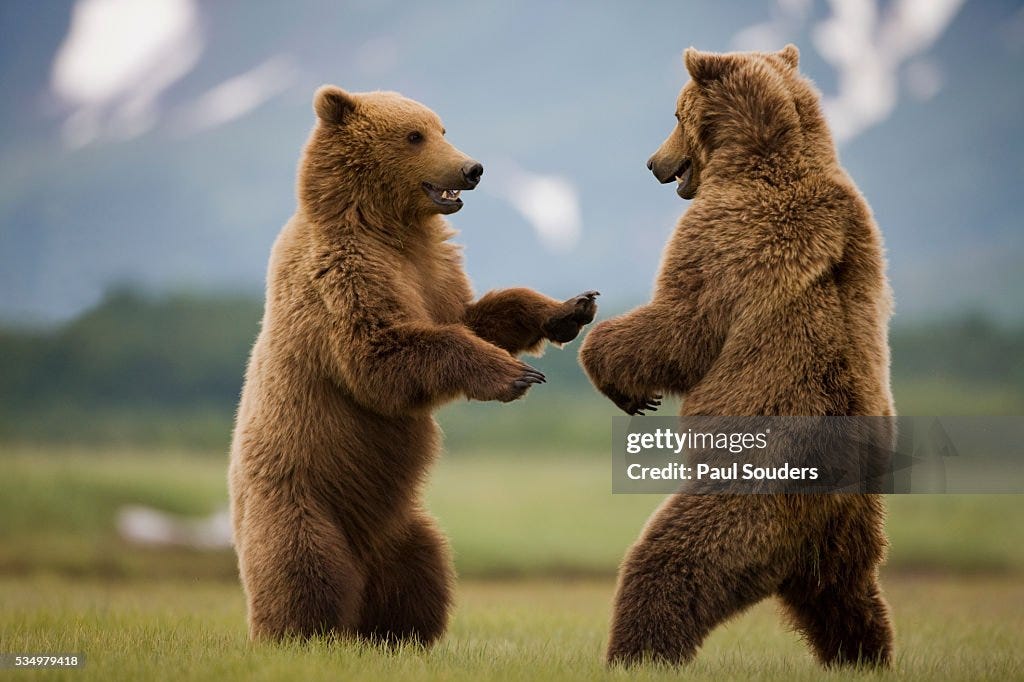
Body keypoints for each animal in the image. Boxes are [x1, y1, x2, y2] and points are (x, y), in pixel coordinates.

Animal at [228, 85, 598, 644]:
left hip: (401, 523)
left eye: (442, 128)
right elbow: (384, 352)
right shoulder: (344, 275)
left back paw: (399, 633)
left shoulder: (433, 271)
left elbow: (475, 315)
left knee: (423, 568)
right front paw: (515, 375)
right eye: (413, 135)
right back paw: (303, 633)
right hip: (299, 497)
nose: (472, 168)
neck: (387, 227)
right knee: (303, 569)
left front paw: (570, 308)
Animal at [579, 45, 895, 667]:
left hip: (748, 495)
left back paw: (637, 653)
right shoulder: (861, 225)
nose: (653, 163)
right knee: (847, 594)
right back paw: (865, 656)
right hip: (849, 531)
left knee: (672, 562)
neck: (757, 156)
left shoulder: (727, 235)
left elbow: (682, 326)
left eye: (675, 114)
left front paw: (618, 377)